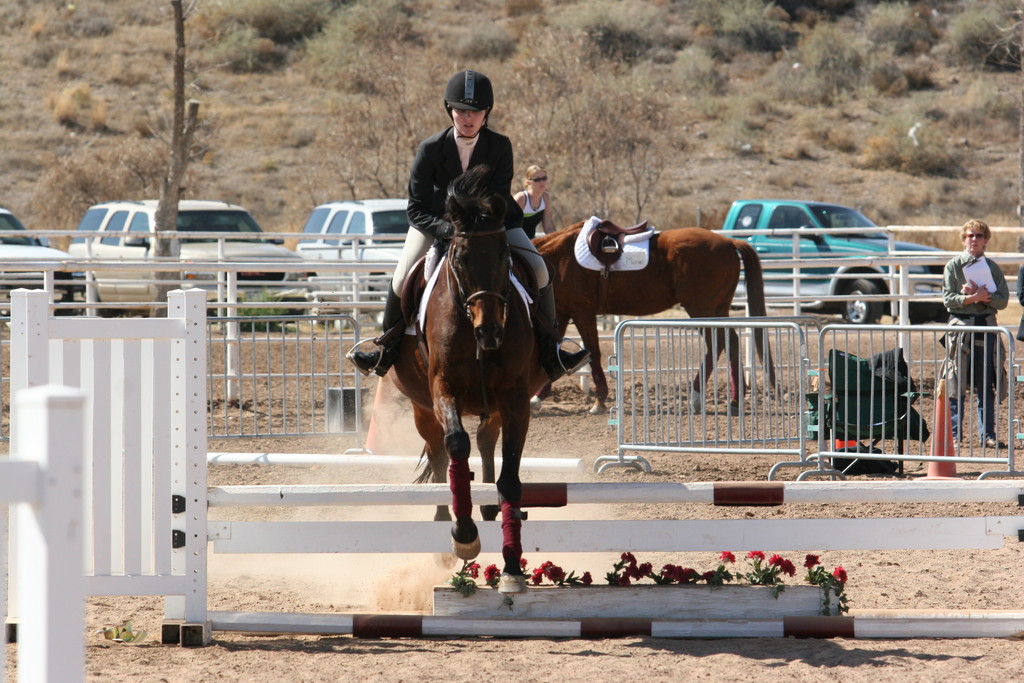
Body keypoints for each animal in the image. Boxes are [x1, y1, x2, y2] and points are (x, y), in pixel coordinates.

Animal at [385, 166, 548, 593]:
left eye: (505, 255)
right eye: (459, 257)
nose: (489, 332)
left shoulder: (515, 399)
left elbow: (510, 475)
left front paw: (511, 565)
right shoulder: (443, 390)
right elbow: (457, 444)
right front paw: (464, 537)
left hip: (493, 405)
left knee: (487, 439)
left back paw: (489, 507)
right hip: (422, 408)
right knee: (441, 454)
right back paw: (446, 524)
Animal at [532, 224, 770, 413]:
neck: (559, 258)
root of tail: (729, 241)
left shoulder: (582, 312)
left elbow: (594, 353)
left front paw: (599, 401)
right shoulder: (562, 313)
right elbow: (553, 352)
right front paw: (536, 398)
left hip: (701, 309)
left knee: (717, 344)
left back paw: (696, 397)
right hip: (718, 309)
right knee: (731, 342)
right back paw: (735, 401)